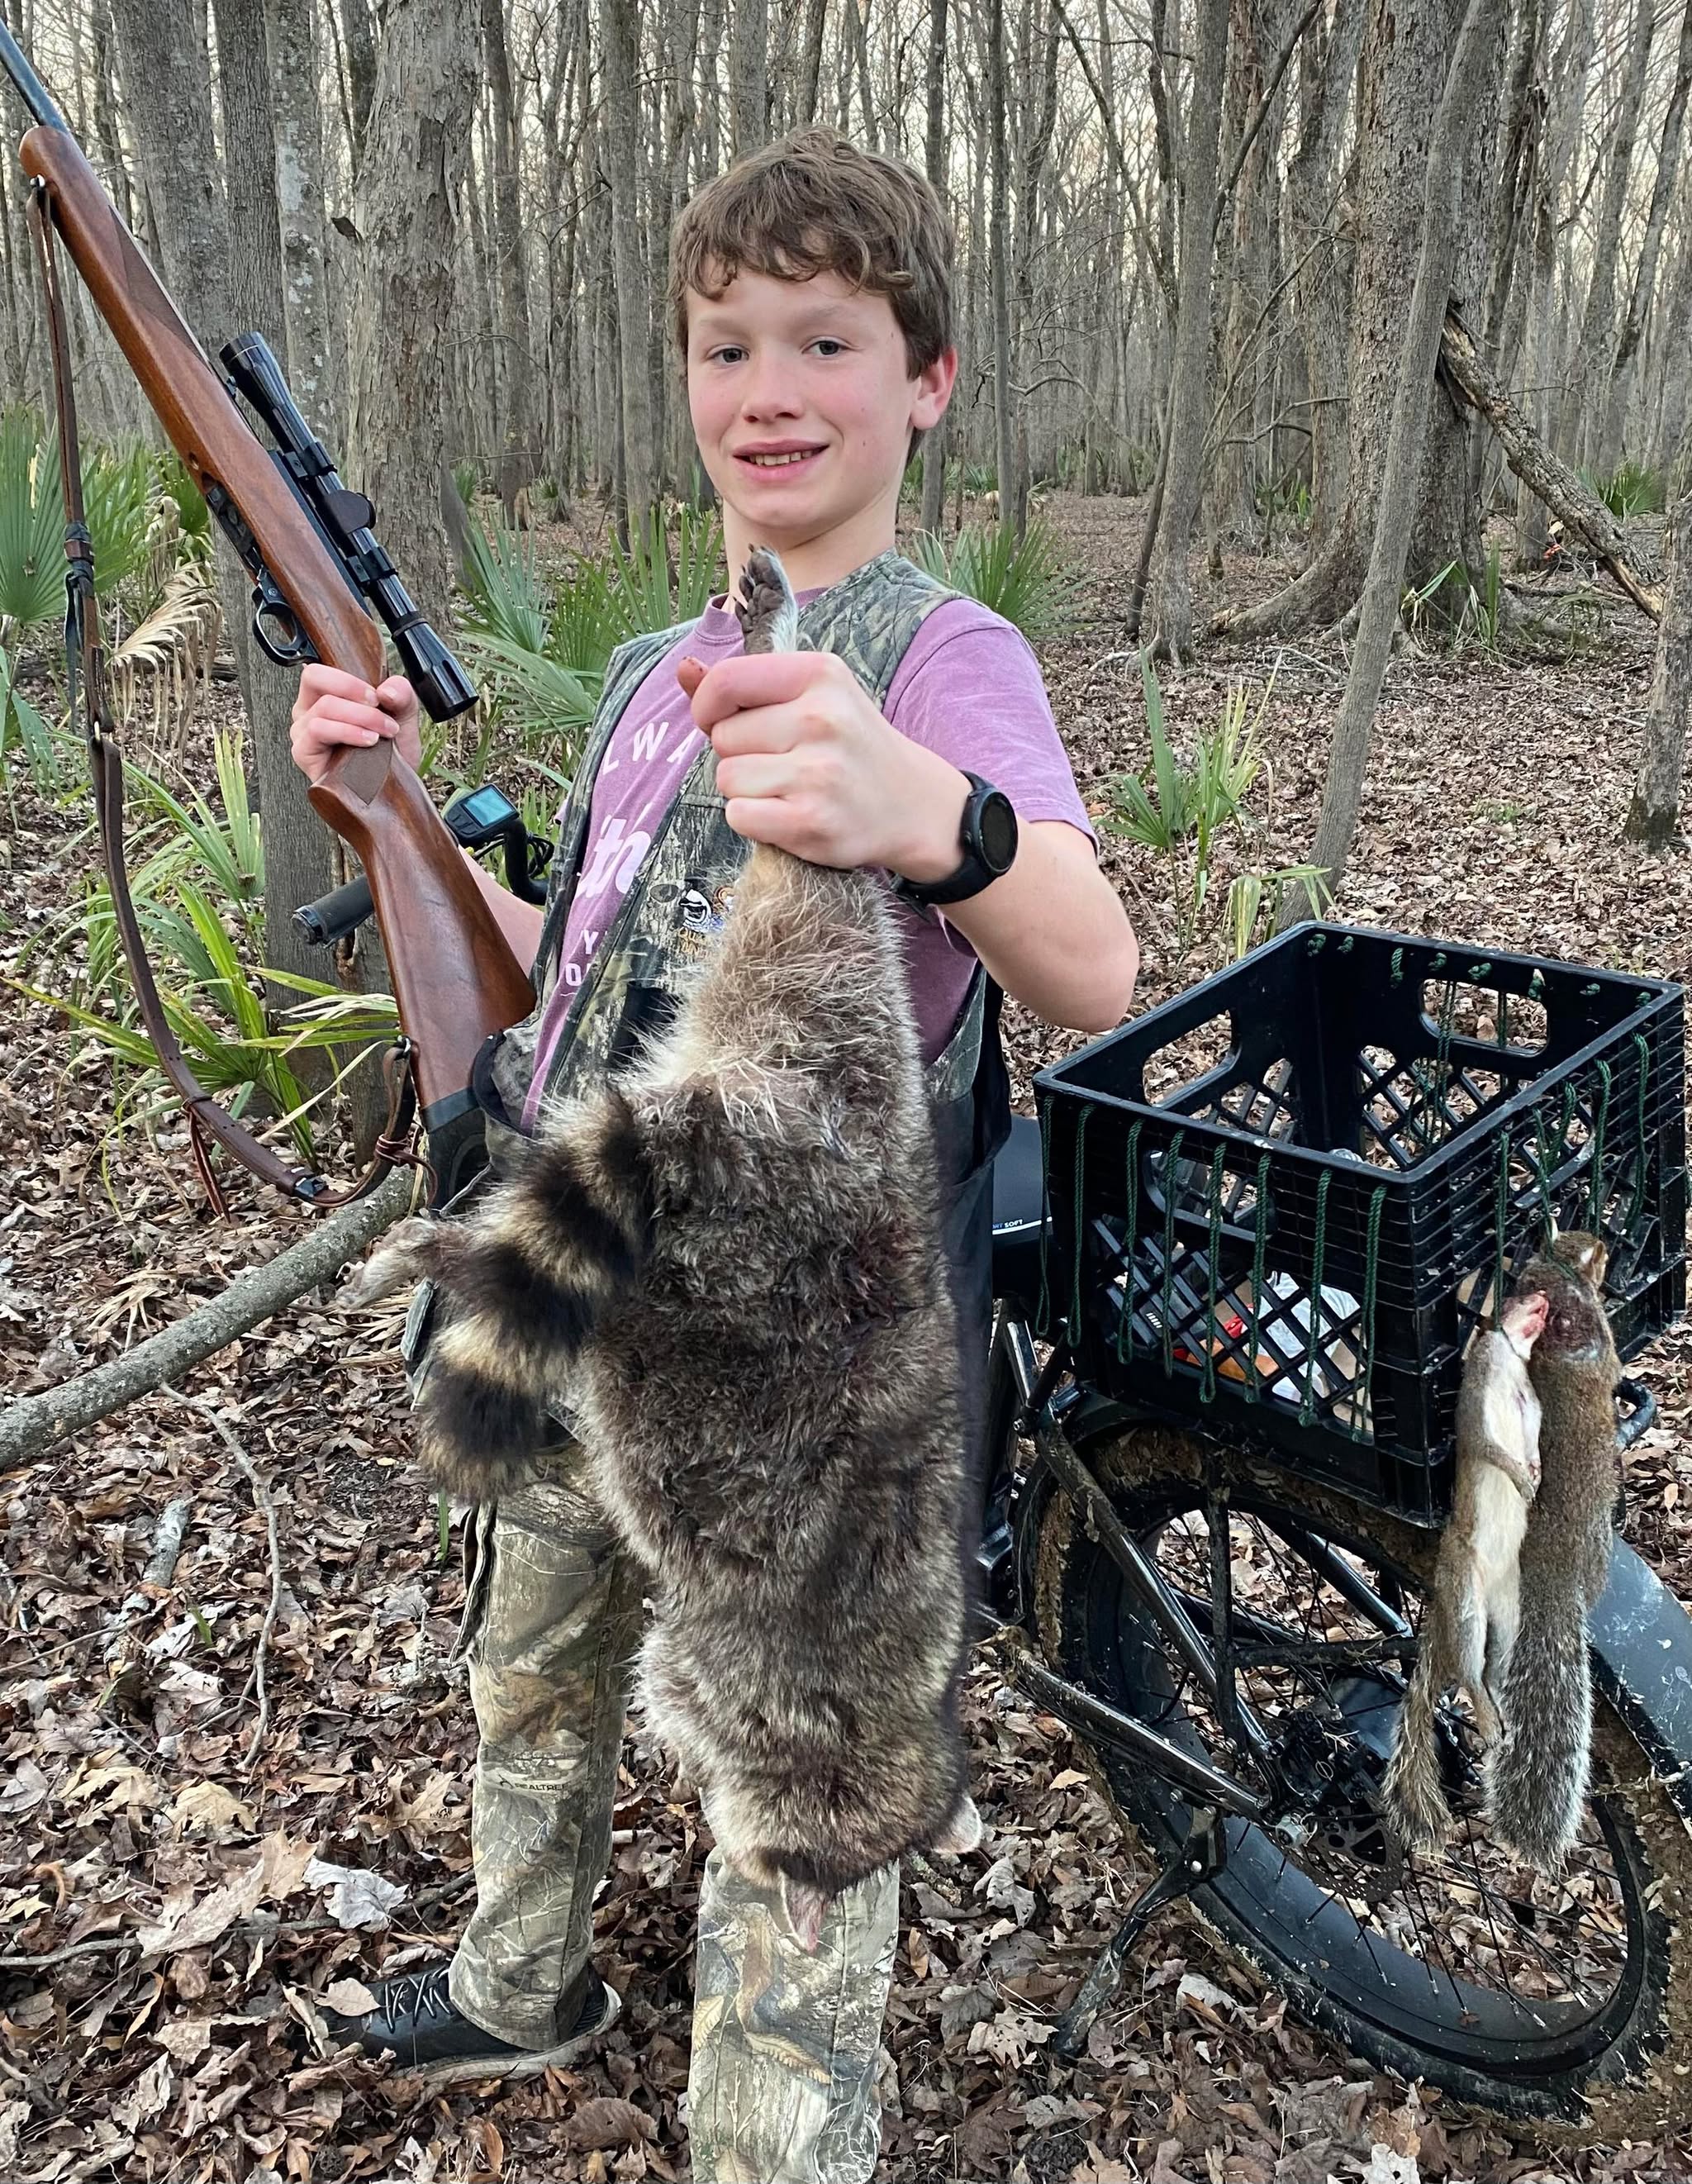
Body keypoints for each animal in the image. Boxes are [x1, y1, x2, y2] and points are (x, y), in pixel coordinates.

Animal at [1382, 1284, 1548, 1852]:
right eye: (1515, 1293)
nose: (1543, 1296)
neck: (1510, 1363)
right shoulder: (1475, 1413)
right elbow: (1491, 1448)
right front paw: (1521, 1477)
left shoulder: (1531, 1405)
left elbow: (1534, 1436)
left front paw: (1536, 1470)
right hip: (1468, 1604)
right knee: (1467, 1672)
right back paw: (1488, 1716)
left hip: (1509, 1616)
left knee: (1491, 1673)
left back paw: (1499, 1718)